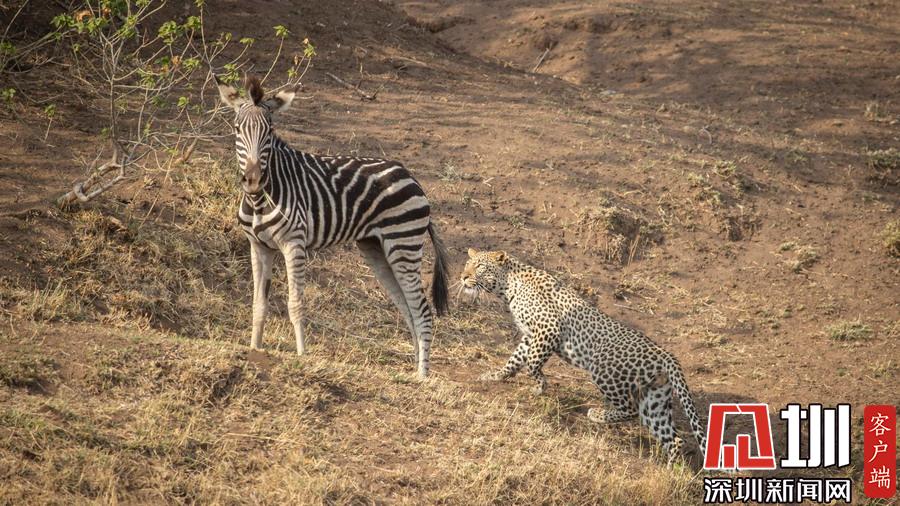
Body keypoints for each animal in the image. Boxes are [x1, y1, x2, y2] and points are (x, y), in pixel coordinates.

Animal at [216, 76, 450, 378]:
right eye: (237, 129)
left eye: (270, 131)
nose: (253, 180)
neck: (260, 199)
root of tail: (412, 177)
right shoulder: (258, 246)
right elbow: (258, 304)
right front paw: (254, 350)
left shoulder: (294, 244)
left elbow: (295, 303)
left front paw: (302, 356)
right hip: (377, 249)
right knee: (408, 309)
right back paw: (410, 371)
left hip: (403, 244)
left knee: (422, 310)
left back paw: (422, 377)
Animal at [460, 248, 707, 465]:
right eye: (467, 264)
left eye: (480, 266)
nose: (463, 277)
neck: (508, 285)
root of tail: (664, 354)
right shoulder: (532, 335)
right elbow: (516, 359)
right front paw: (496, 376)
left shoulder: (548, 328)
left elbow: (532, 363)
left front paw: (540, 386)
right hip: (654, 398)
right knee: (673, 438)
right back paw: (670, 471)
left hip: (604, 371)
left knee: (630, 408)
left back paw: (597, 414)